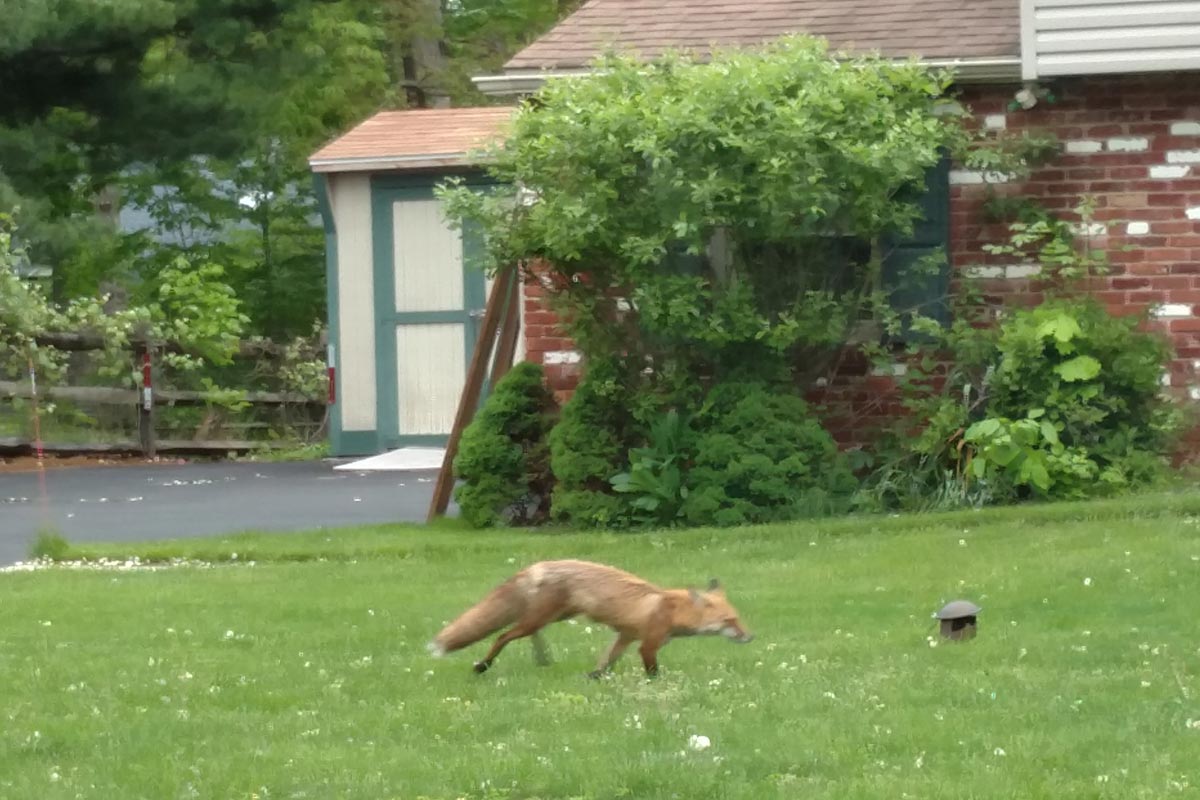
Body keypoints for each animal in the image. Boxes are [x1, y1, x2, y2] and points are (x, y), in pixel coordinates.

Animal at [427, 559, 753, 678]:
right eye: (729, 621)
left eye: (738, 619)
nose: (751, 636)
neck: (672, 609)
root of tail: (539, 565)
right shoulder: (646, 644)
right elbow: (652, 671)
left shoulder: (625, 635)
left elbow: (606, 661)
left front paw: (594, 678)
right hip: (541, 618)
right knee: (503, 635)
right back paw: (483, 666)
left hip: (553, 616)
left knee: (525, 633)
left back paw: (542, 658)